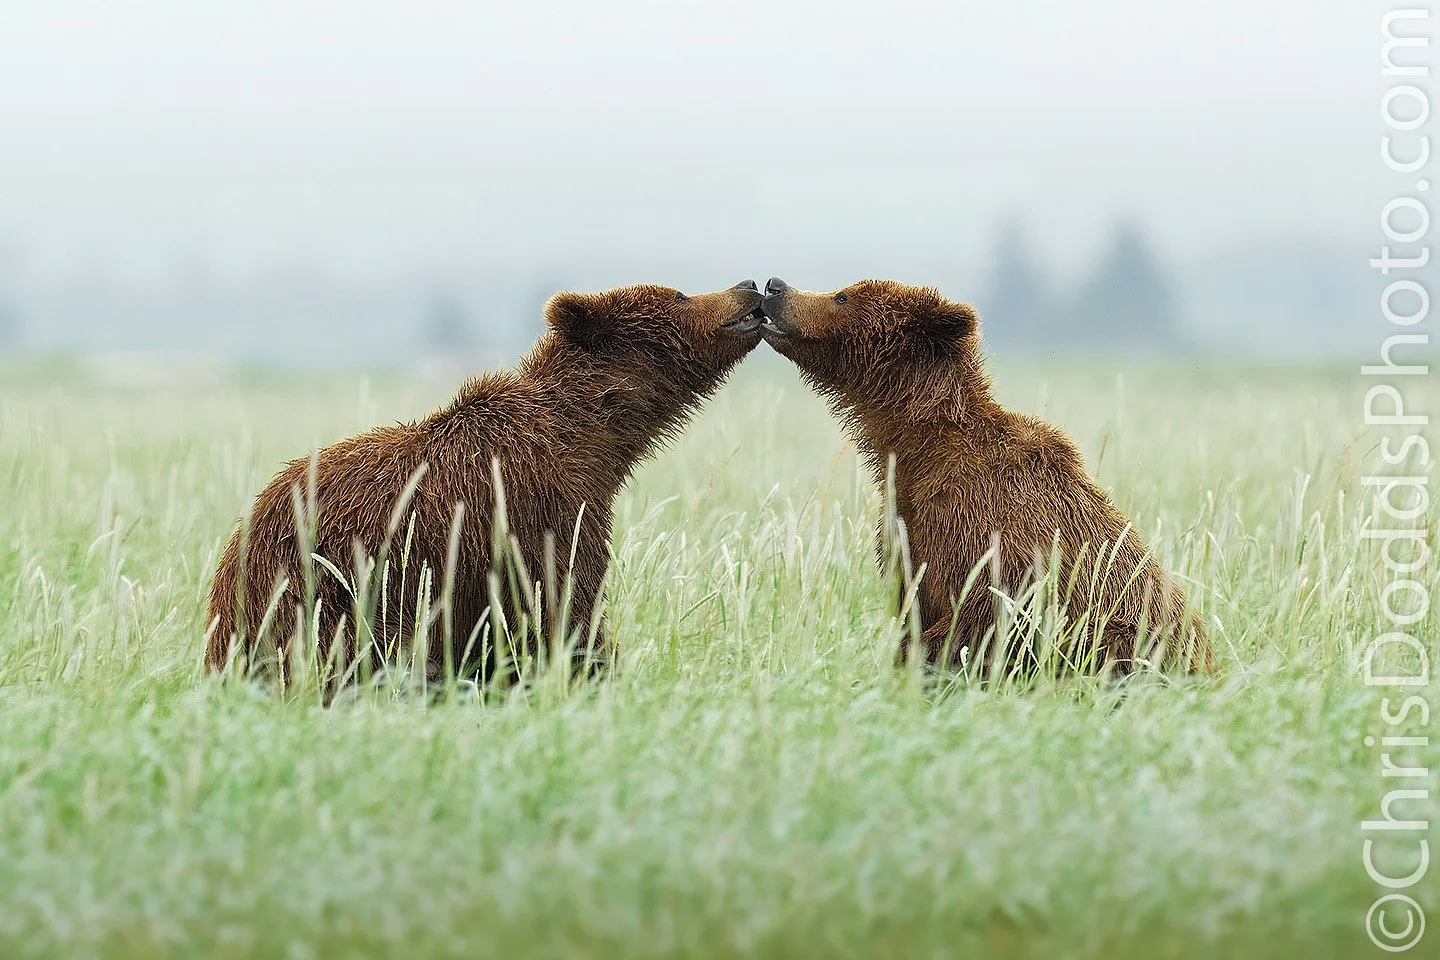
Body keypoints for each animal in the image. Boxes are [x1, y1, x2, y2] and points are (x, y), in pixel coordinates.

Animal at [205, 280, 766, 687]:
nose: (748, 287)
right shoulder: (538, 513)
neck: (592, 439)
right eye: (681, 294)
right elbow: (564, 611)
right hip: (329, 589)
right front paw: (592, 674)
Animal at [757, 277, 1210, 675]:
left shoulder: (988, 525)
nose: (775, 286)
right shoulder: (908, 527)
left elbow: (981, 612)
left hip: (1130, 633)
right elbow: (914, 606)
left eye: (842, 295)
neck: (919, 447)